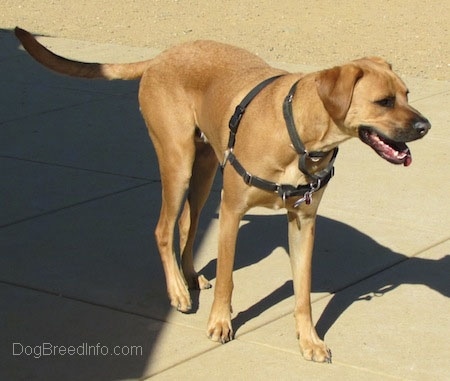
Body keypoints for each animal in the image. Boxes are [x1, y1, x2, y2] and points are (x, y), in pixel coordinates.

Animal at [14, 27, 428, 362]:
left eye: (407, 94)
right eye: (384, 101)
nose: (426, 126)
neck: (298, 136)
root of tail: (162, 56)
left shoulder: (303, 223)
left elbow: (303, 291)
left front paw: (308, 340)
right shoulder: (231, 210)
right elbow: (228, 278)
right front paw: (220, 323)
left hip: (204, 171)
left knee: (187, 225)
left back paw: (190, 276)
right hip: (178, 163)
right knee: (163, 229)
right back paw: (178, 292)